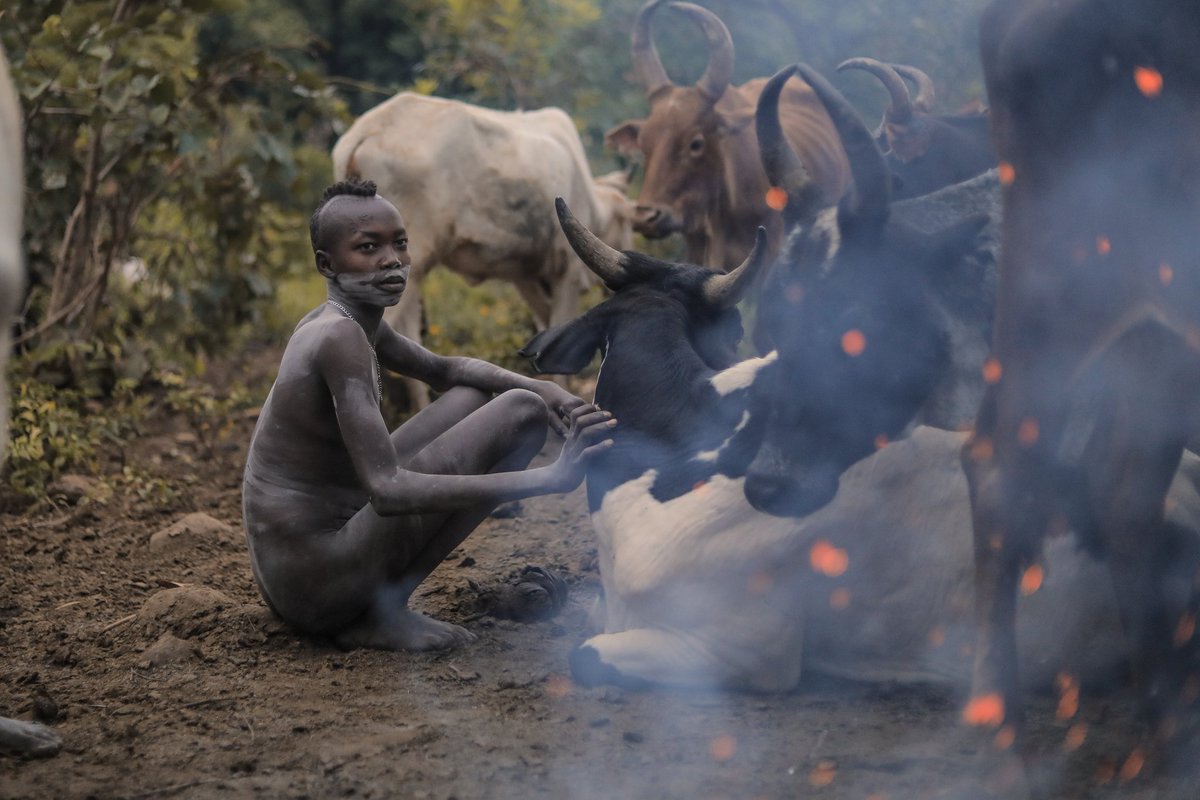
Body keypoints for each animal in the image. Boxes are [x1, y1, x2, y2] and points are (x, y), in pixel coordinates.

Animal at [962, 0, 1200, 746]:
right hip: (1061, 277)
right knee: (998, 463)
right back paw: (997, 723)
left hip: (1156, 333)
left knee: (1125, 491)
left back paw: (1165, 714)